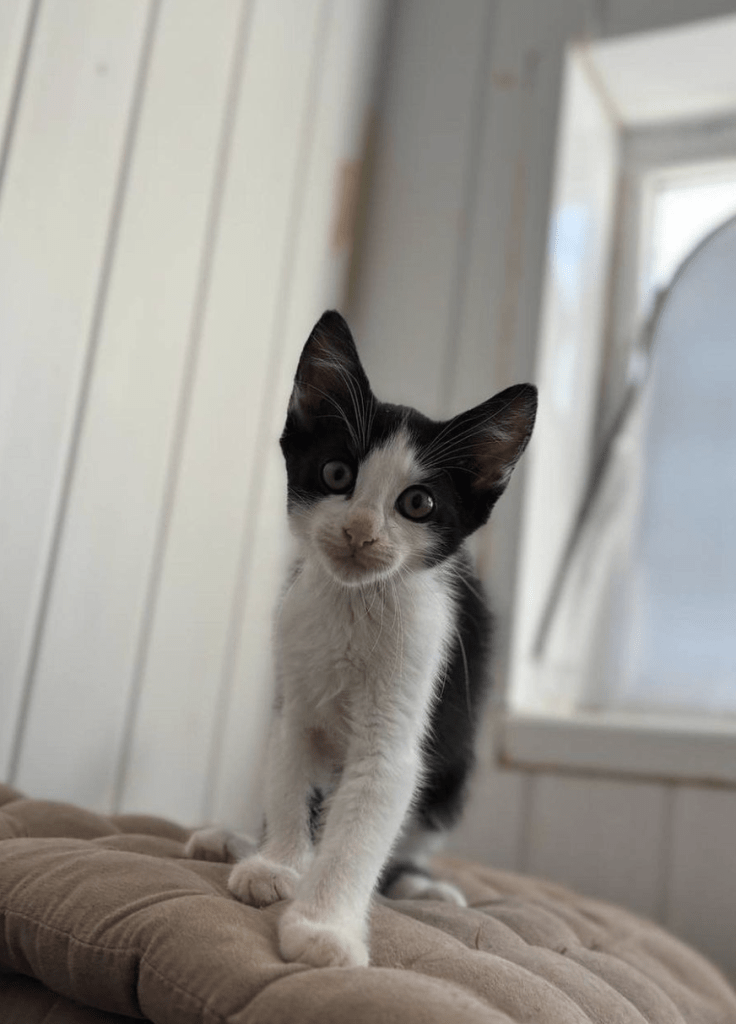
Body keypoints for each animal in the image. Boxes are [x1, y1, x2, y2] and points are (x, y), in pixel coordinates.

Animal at [188, 311, 536, 966]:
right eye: (336, 474)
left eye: (418, 503)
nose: (358, 530)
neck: (353, 607)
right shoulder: (293, 699)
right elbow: (289, 779)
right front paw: (279, 864)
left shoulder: (402, 712)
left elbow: (362, 823)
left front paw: (323, 926)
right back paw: (239, 841)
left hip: (452, 772)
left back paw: (424, 885)